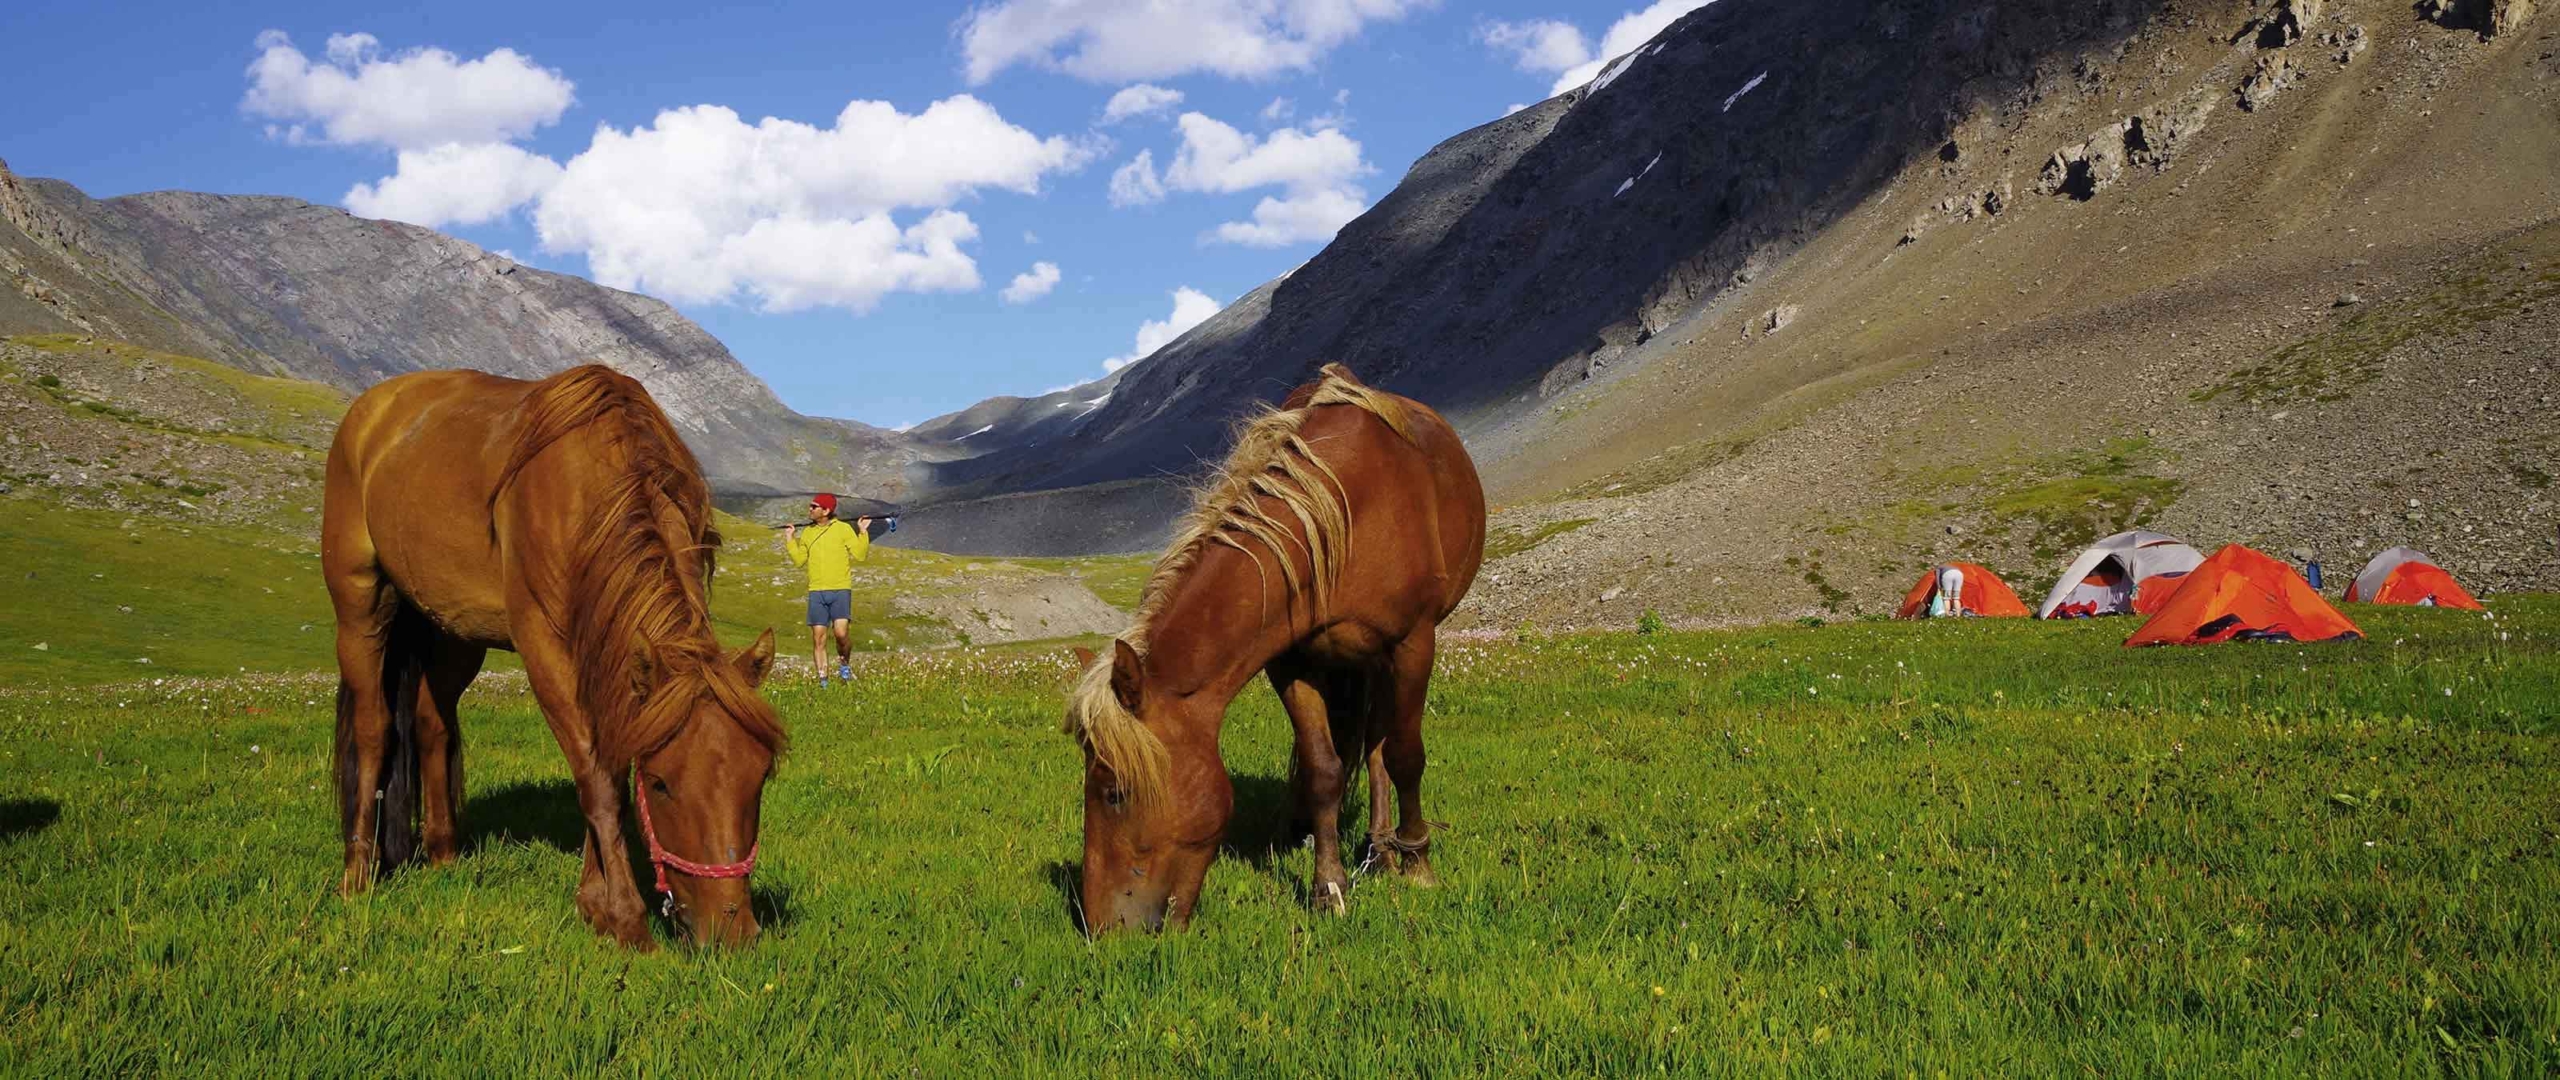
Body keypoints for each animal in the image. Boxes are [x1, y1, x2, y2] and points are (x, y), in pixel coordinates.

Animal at [321, 364, 786, 949]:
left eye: (760, 776)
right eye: (660, 784)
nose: (733, 931)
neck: (588, 492)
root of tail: (369, 411)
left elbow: (607, 766)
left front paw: (595, 903)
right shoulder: (546, 650)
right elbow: (598, 780)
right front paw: (626, 919)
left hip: (453, 632)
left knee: (432, 723)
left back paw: (444, 855)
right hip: (360, 607)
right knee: (373, 727)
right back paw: (357, 873)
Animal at [1063, 363, 1485, 933]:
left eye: (1113, 793)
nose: (1101, 927)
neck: (1348, 508)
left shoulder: (1412, 643)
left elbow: (1405, 756)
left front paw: (1418, 861)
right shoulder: (1292, 662)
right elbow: (1323, 769)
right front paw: (1328, 886)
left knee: (1381, 750)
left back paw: (1385, 849)